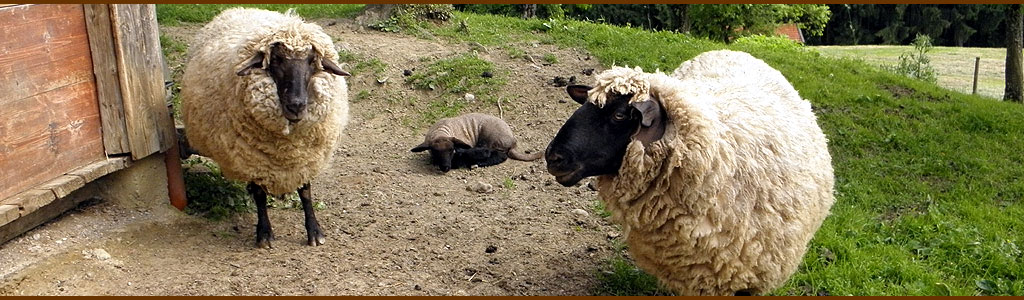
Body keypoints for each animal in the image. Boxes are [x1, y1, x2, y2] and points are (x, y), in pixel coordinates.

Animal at [178, 8, 350, 247]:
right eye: (276, 59)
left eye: (311, 61)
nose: (297, 105)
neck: (288, 146)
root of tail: (238, 9)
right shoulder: (251, 158)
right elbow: (260, 195)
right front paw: (264, 234)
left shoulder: (305, 157)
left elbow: (306, 191)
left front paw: (315, 232)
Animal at [413, 112, 548, 172]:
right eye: (435, 151)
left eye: (452, 150)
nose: (446, 168)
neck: (441, 131)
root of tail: (513, 142)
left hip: (490, 141)